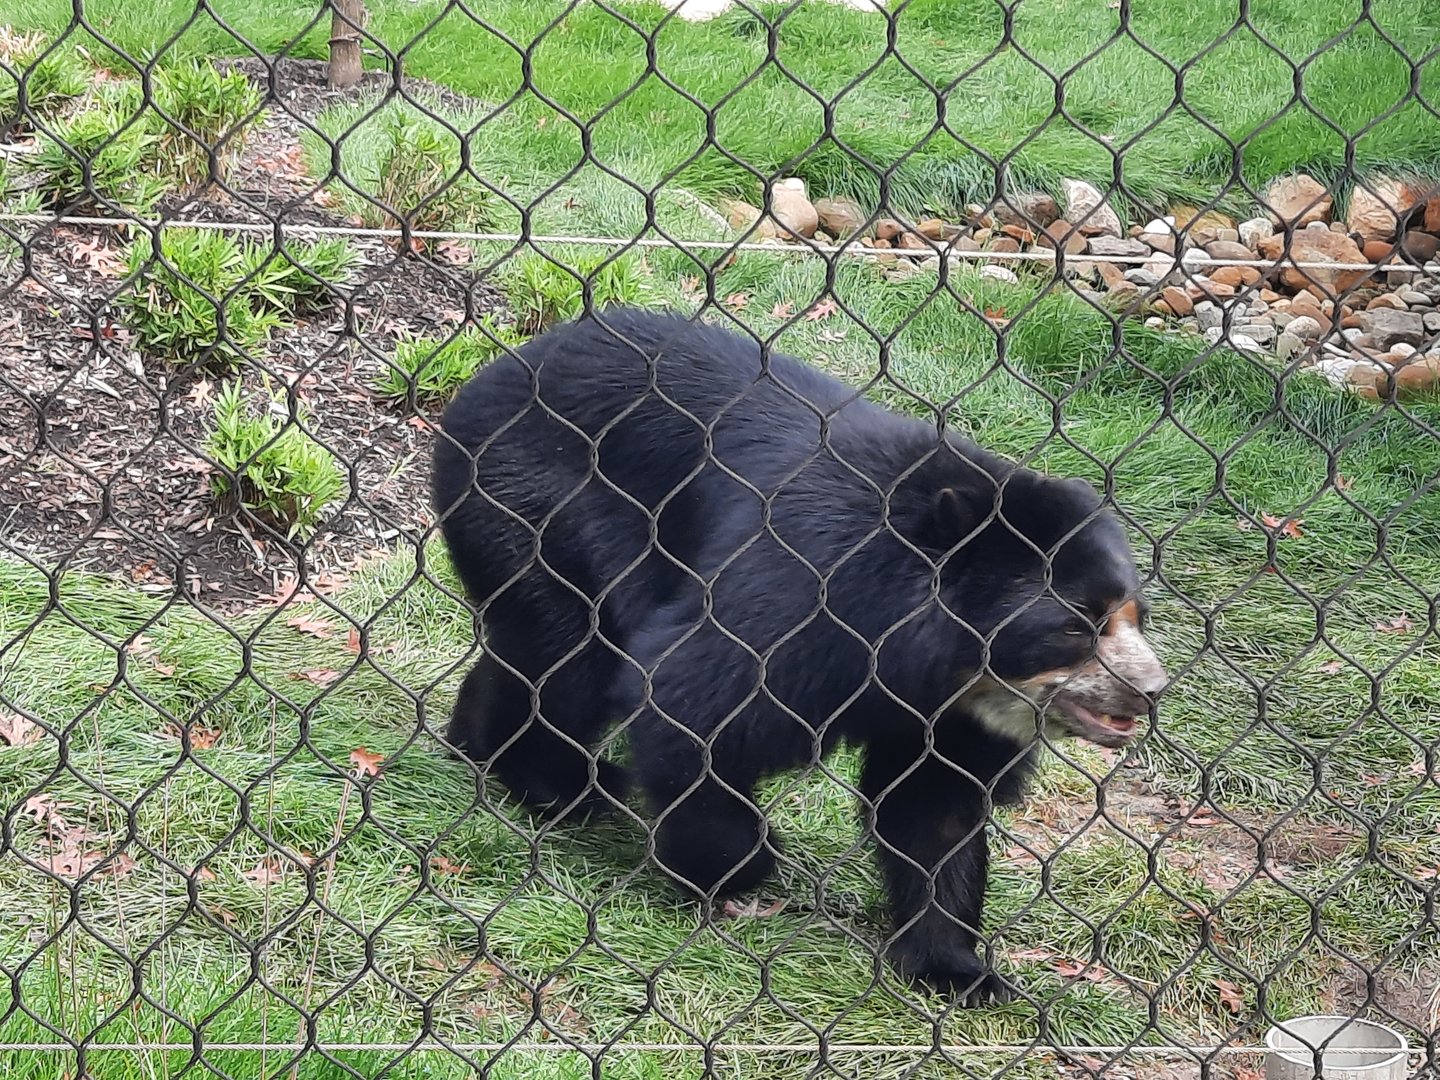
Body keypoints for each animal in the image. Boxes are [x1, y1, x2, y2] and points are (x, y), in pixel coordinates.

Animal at [430, 307, 1167, 1006]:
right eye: (1075, 626)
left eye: (1135, 615)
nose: (1150, 688)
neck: (945, 664)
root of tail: (494, 372)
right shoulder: (806, 597)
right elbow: (694, 699)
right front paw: (741, 864)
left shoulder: (952, 714)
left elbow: (934, 807)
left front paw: (958, 971)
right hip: (537, 506)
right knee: (566, 658)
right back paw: (565, 787)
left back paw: (483, 742)